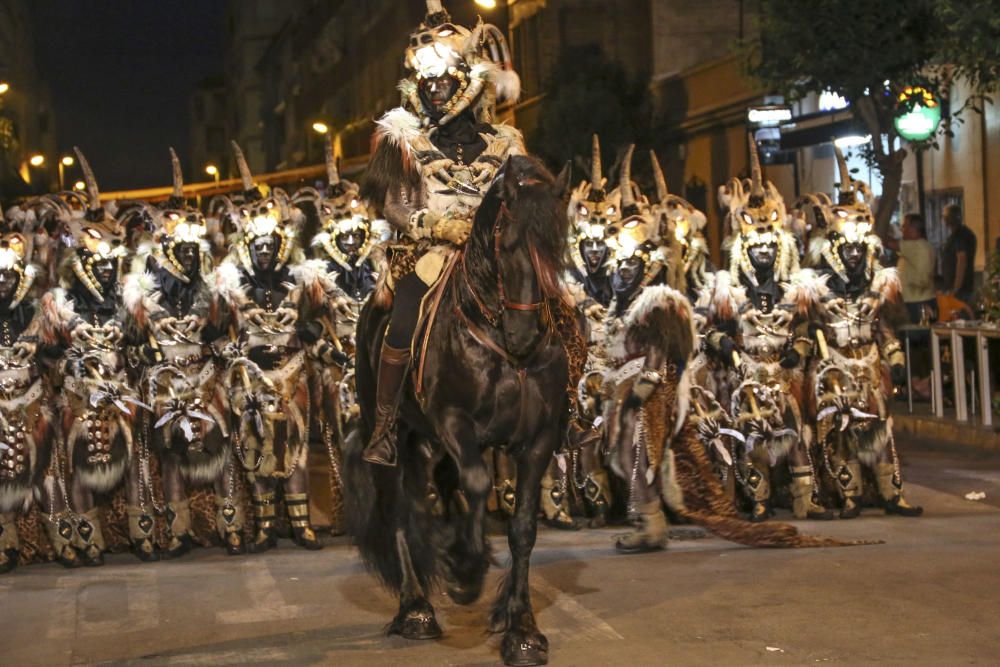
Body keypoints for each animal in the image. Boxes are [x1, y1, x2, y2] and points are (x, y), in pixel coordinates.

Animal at [344, 154, 572, 664]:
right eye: (506, 242)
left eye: (557, 247)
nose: (526, 335)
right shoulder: (453, 422)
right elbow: (478, 483)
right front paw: (465, 571)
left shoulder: (539, 440)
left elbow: (522, 528)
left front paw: (521, 626)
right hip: (390, 434)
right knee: (399, 509)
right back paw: (416, 608)